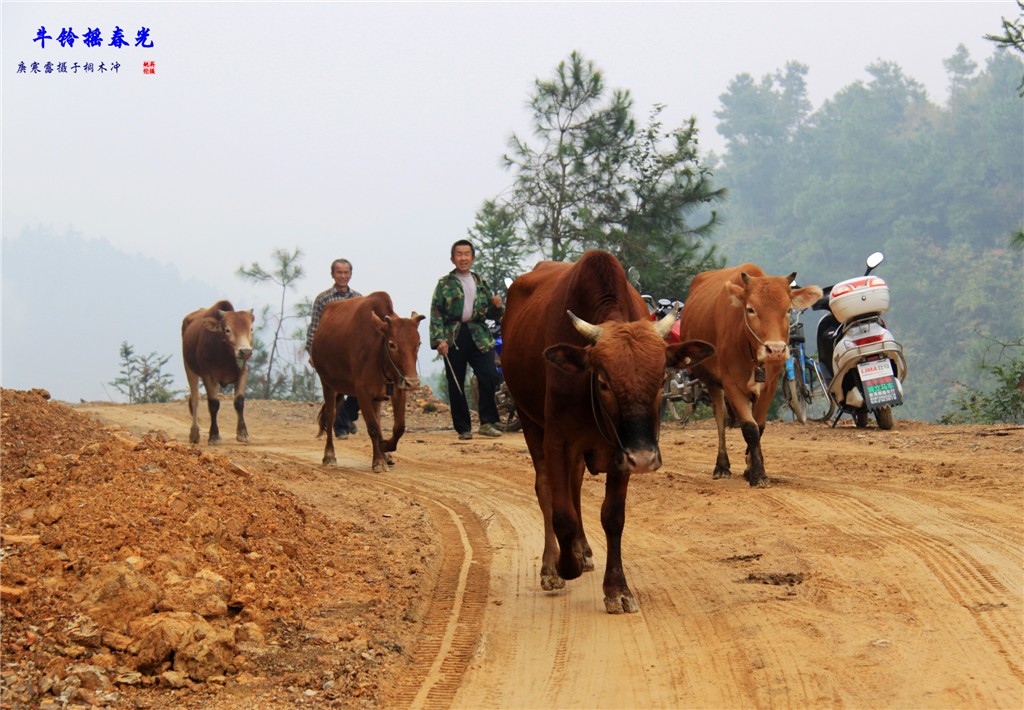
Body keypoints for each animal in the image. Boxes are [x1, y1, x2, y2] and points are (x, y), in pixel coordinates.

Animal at [180, 299, 253, 442]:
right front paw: (213, 435)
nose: (245, 351)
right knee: (195, 399)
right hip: (189, 367)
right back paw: (194, 434)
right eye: (227, 330)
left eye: (251, 329)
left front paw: (242, 433)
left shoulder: (242, 372)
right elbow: (213, 404)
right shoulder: (208, 375)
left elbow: (239, 401)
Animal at [311, 290, 423, 473]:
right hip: (327, 383)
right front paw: (378, 461)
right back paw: (329, 455)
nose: (412, 383)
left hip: (376, 396)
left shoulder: (397, 389)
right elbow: (372, 427)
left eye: (418, 343)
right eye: (392, 344)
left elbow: (398, 427)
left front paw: (384, 448)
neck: (378, 350)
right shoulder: (361, 391)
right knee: (330, 415)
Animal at [501, 248, 712, 610]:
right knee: (546, 490)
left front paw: (617, 588)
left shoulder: (621, 452)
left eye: (661, 380)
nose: (645, 459)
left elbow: (612, 517)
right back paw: (552, 565)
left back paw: (583, 550)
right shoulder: (558, 441)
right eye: (602, 382)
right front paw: (565, 565)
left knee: (573, 486)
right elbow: (562, 514)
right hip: (529, 421)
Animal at [679, 264, 823, 487]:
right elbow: (749, 428)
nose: (776, 350)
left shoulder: (769, 385)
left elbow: (760, 427)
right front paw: (758, 474)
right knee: (720, 419)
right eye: (751, 309)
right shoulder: (731, 385)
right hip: (712, 383)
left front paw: (752, 467)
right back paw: (722, 466)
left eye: (788, 310)